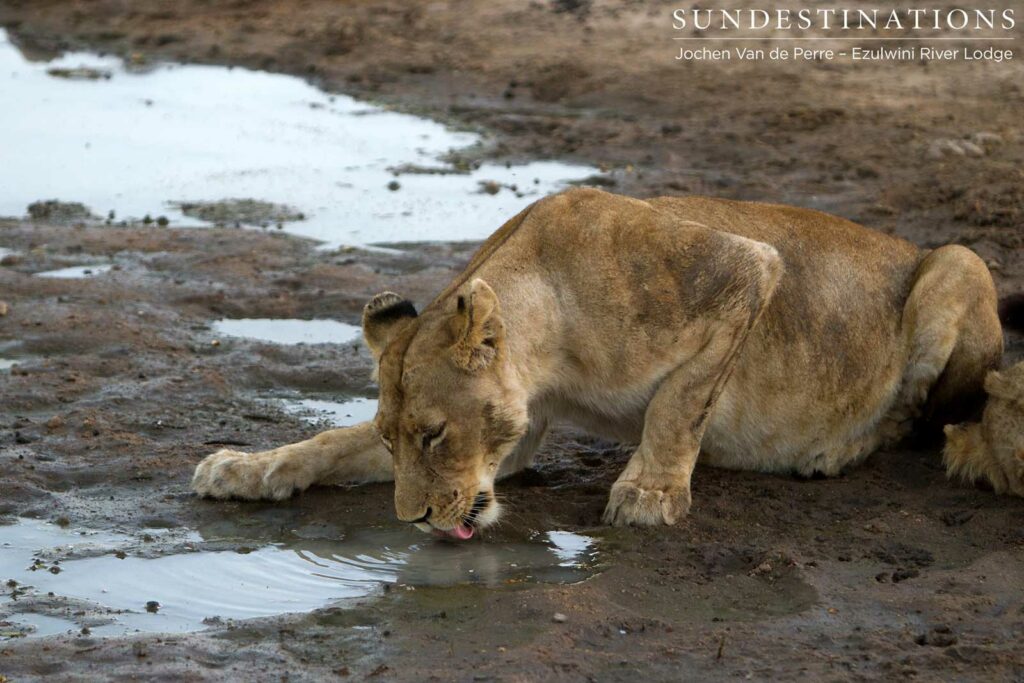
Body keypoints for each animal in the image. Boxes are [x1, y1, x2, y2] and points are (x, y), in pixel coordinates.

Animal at [192, 188, 1006, 539]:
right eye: (396, 442)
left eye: (434, 435)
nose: (415, 520)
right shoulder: (520, 432)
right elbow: (332, 441)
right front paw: (243, 467)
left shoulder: (744, 269)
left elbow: (680, 404)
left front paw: (648, 493)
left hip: (957, 264)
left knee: (920, 415)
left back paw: (833, 452)